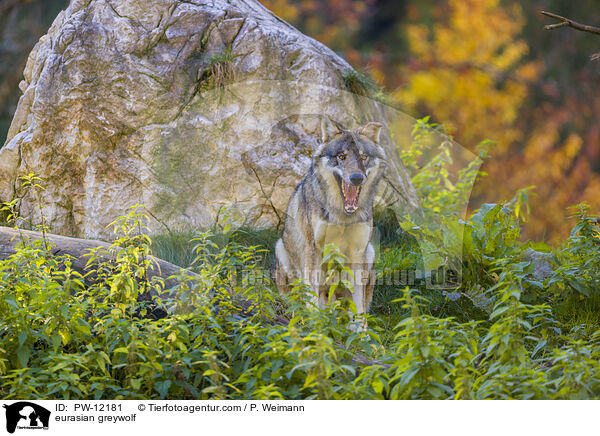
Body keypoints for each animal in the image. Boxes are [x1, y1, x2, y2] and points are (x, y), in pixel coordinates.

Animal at [276, 116, 386, 324]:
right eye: (341, 157)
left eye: (363, 157)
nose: (357, 178)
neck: (343, 217)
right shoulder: (313, 247)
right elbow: (311, 293)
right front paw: (315, 323)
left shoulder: (358, 251)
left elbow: (358, 301)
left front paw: (360, 330)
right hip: (281, 250)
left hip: (370, 253)